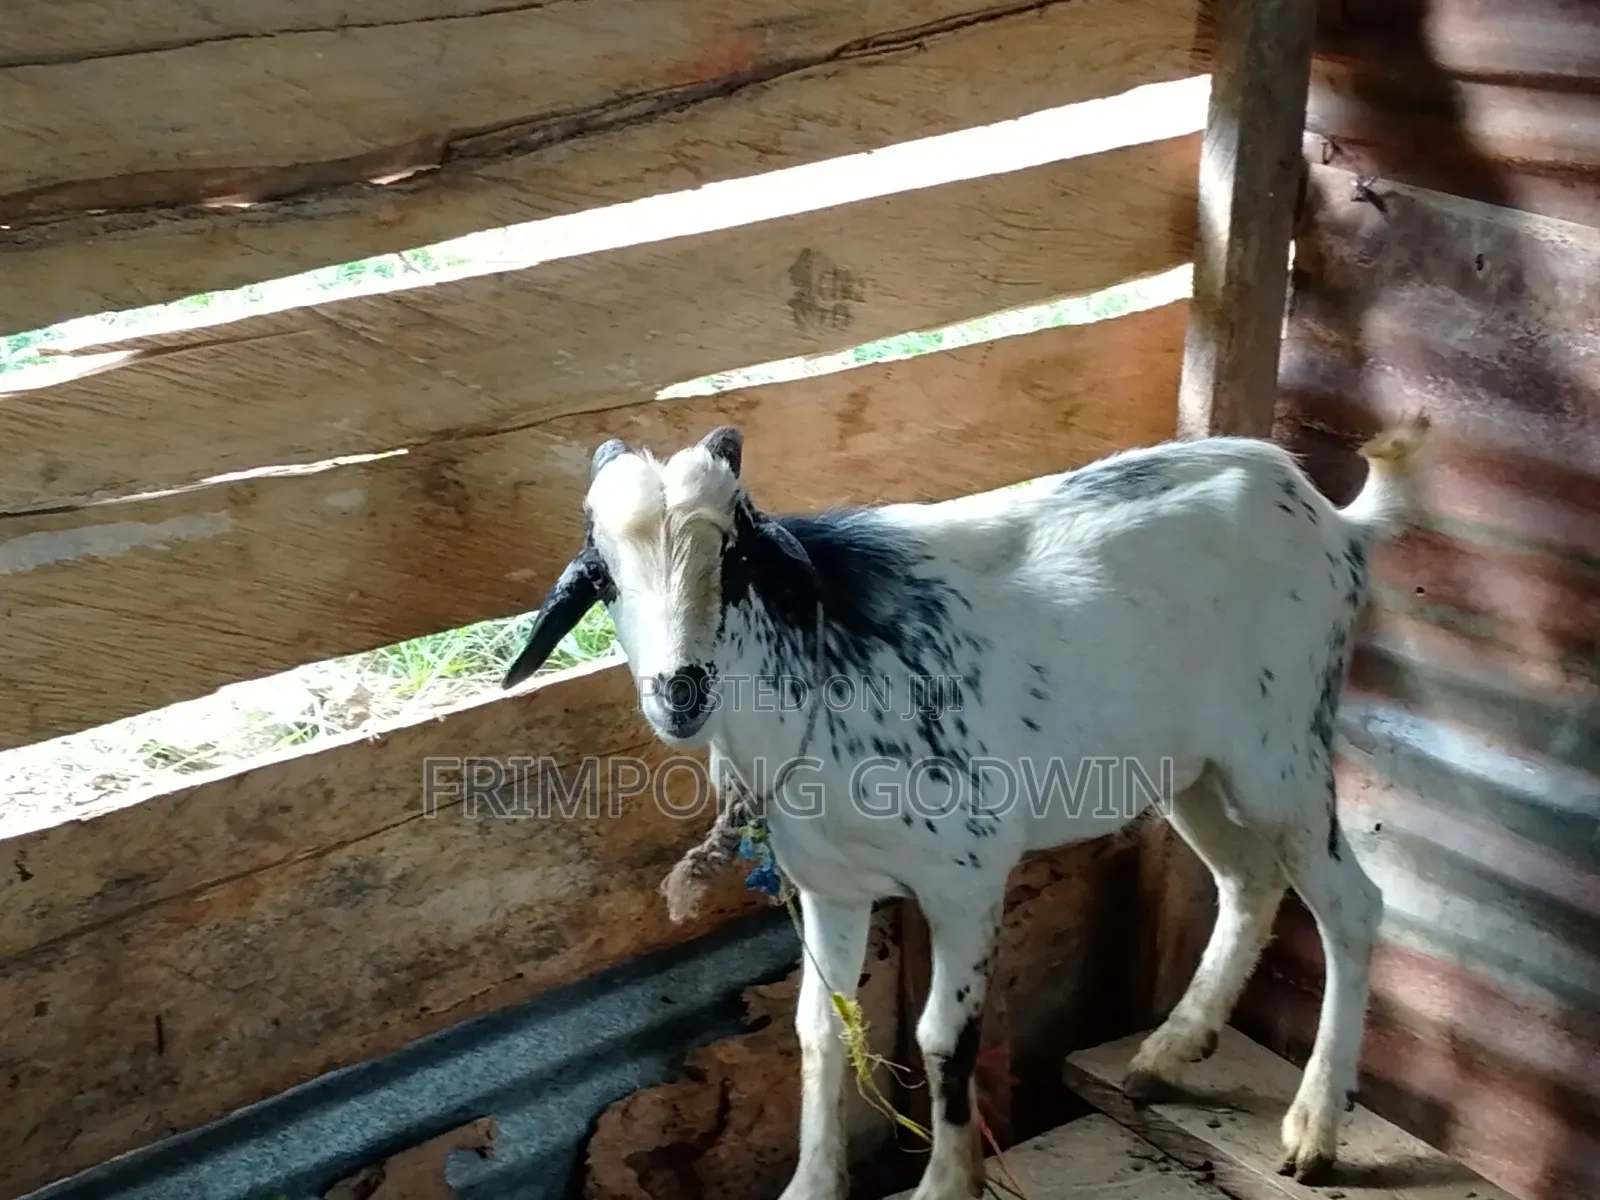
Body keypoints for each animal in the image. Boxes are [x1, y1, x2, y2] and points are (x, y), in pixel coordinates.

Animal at [502, 417, 1429, 1200]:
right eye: (602, 577)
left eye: (734, 560)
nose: (680, 692)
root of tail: (1332, 516)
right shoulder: (831, 888)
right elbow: (821, 1028)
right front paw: (813, 1184)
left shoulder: (967, 876)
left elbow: (944, 1036)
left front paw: (948, 1184)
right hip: (1193, 771)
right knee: (1248, 880)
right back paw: (1171, 1049)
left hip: (1283, 751)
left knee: (1352, 907)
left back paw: (1314, 1128)